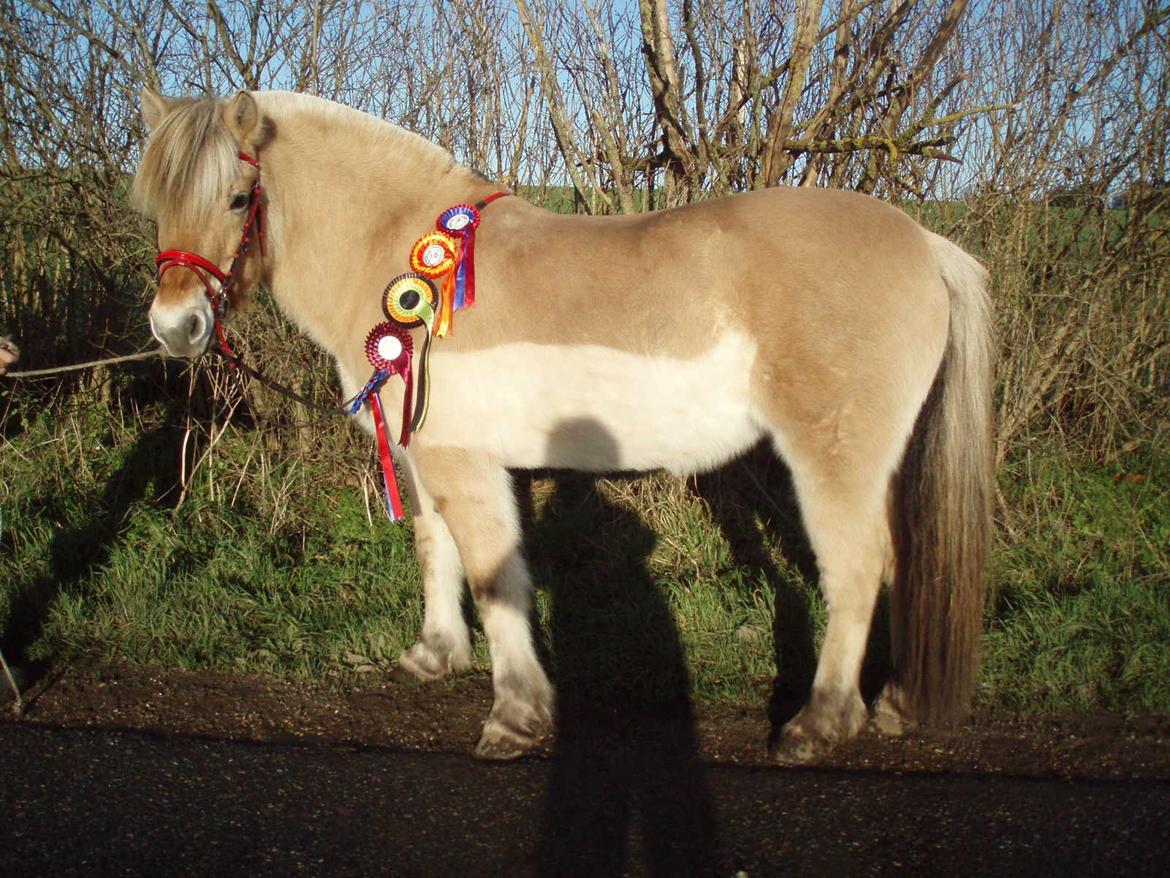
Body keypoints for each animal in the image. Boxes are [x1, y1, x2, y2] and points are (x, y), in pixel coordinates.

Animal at [134, 89, 996, 763]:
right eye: (156, 205)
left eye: (238, 199)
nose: (175, 329)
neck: (396, 248)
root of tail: (926, 243)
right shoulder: (425, 451)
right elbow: (435, 550)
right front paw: (434, 656)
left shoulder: (463, 461)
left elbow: (495, 578)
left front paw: (515, 716)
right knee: (899, 559)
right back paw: (896, 704)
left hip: (832, 456)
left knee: (856, 568)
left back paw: (819, 727)